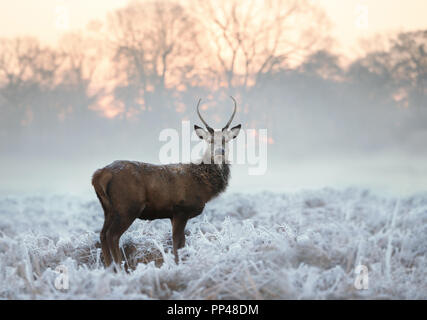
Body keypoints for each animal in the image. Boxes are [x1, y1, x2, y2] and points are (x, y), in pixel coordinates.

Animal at [92, 97, 242, 268]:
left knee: (102, 234)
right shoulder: (181, 209)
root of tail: (99, 175)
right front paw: (178, 266)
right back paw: (120, 268)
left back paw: (110, 268)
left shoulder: (173, 215)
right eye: (209, 140)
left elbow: (181, 243)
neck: (204, 186)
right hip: (127, 206)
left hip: (108, 208)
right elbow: (177, 243)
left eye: (225, 140)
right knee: (112, 235)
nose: (220, 152)